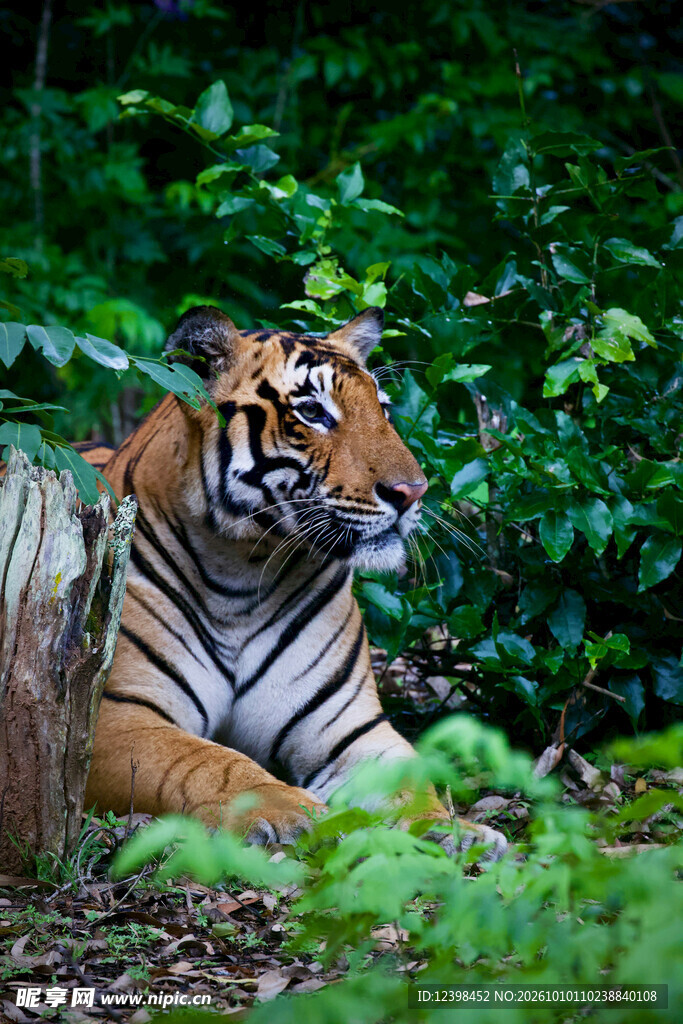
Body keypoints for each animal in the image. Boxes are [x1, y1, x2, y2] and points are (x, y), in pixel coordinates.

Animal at [79, 304, 507, 860]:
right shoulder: (115, 716)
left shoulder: (349, 727)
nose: (413, 492)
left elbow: (410, 782)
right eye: (313, 412)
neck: (241, 573)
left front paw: (454, 832)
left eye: (384, 410)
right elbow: (208, 761)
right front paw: (294, 812)